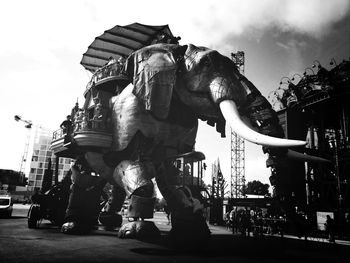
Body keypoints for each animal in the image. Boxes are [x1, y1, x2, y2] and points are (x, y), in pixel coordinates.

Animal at [61, 42, 304, 243]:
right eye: (207, 63)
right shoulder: (130, 120)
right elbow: (133, 166)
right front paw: (138, 232)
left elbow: (173, 179)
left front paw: (194, 231)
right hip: (85, 144)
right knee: (85, 177)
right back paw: (73, 226)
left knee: (106, 180)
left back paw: (107, 221)